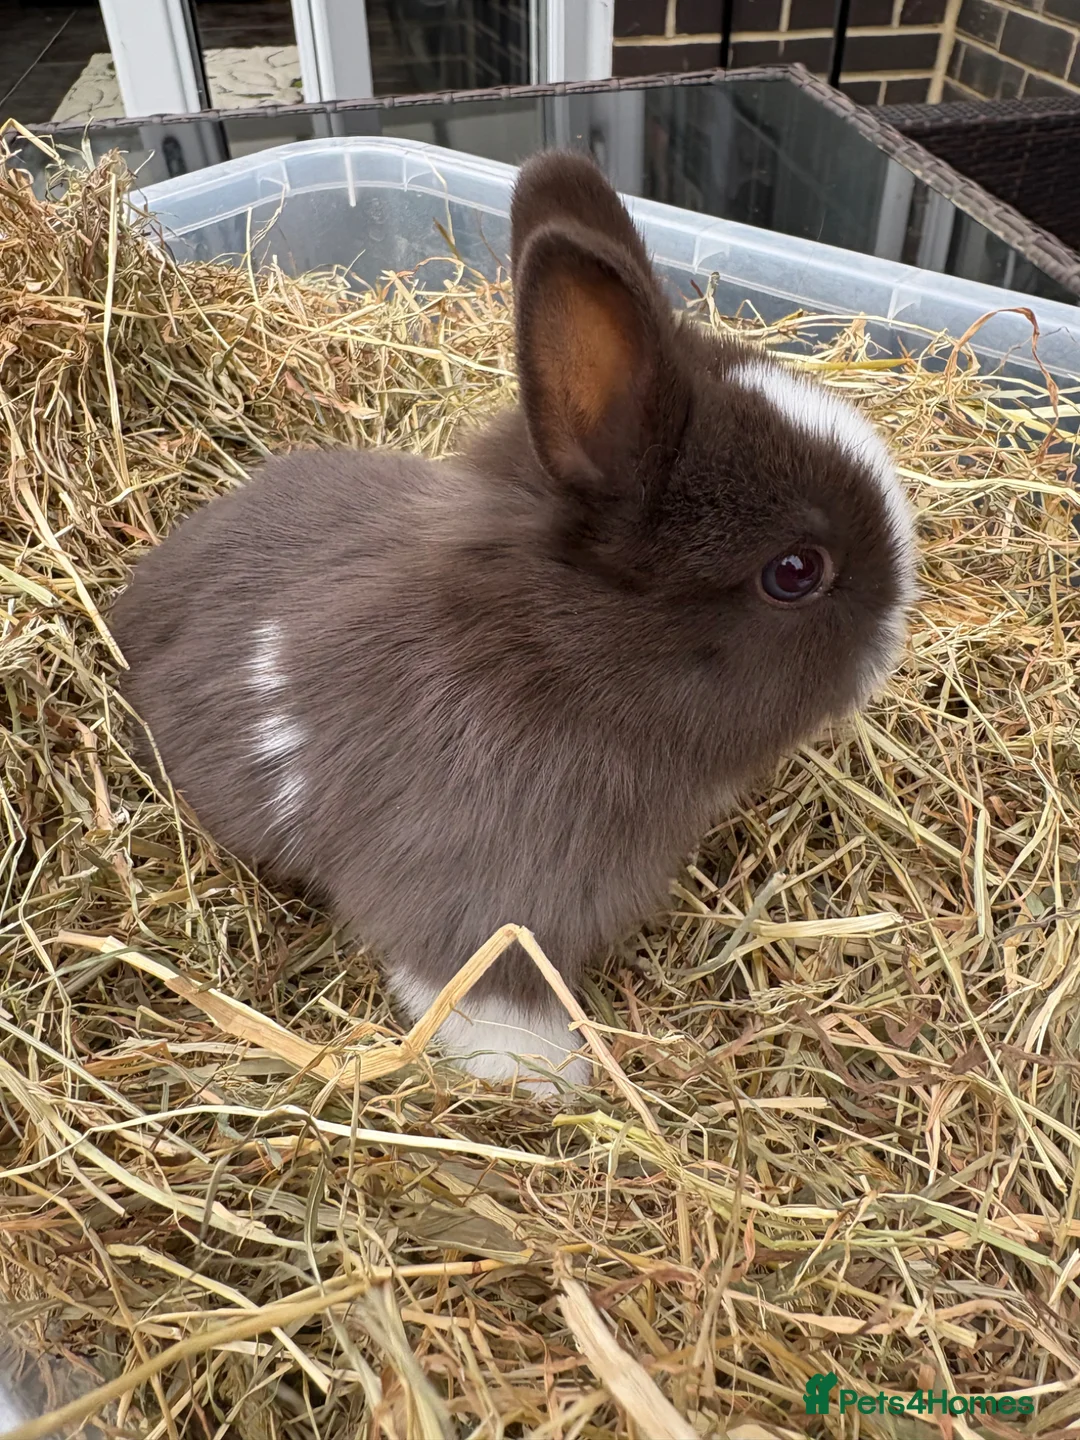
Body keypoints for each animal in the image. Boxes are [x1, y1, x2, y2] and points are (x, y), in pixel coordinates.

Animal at [110, 150, 917, 1094]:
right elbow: (480, 989)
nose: (900, 626)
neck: (556, 661)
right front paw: (549, 1080)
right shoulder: (483, 898)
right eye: (795, 572)